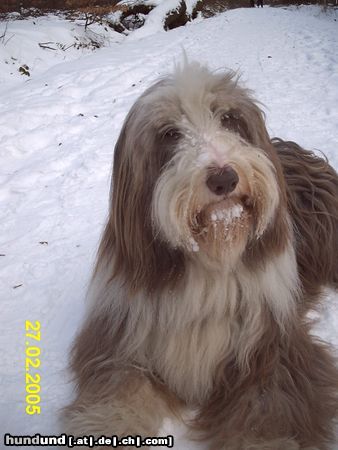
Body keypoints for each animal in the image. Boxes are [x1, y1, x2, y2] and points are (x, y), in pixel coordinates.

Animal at [63, 62, 338, 450]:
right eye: (170, 133)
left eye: (229, 118)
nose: (224, 177)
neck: (212, 258)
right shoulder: (121, 340)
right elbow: (118, 393)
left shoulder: (273, 349)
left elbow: (268, 413)